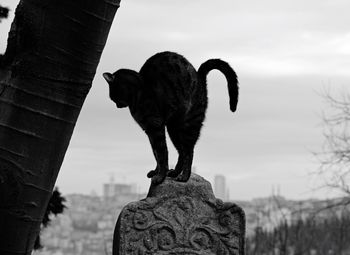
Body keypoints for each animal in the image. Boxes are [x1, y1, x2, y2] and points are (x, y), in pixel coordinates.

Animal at [103, 50, 238, 184]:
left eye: (111, 95)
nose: (117, 105)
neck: (138, 92)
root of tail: (199, 76)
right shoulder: (149, 130)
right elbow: (156, 153)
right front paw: (156, 172)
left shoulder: (155, 126)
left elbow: (162, 153)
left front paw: (160, 177)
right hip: (173, 128)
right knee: (181, 152)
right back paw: (175, 172)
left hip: (189, 124)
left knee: (188, 152)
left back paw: (184, 176)